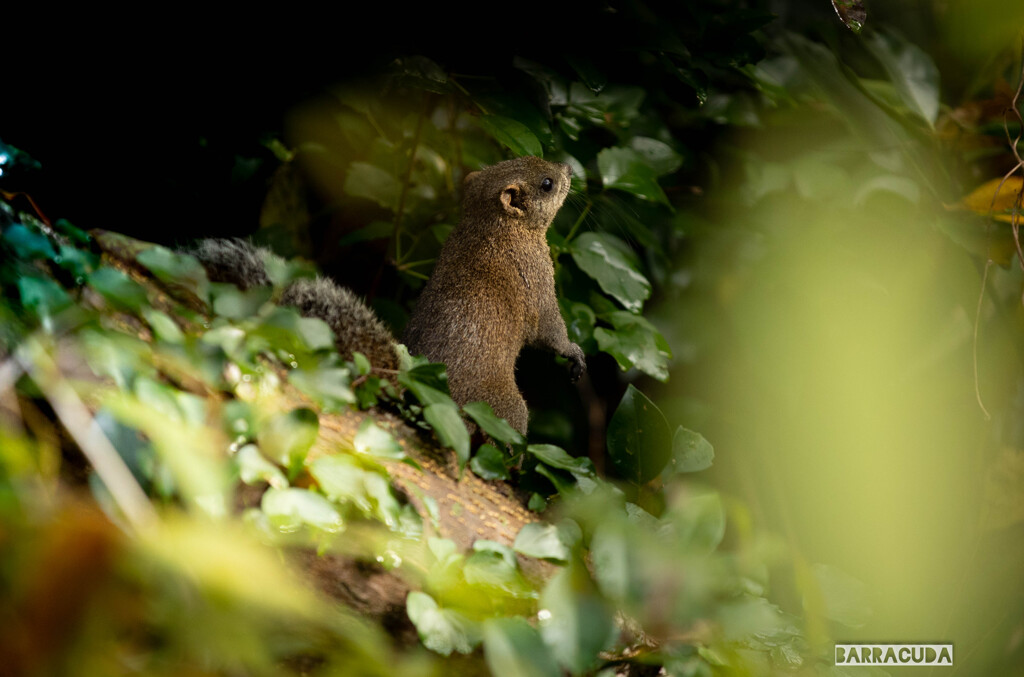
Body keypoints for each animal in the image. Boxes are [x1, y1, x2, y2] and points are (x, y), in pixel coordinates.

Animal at [190, 156, 585, 434]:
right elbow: (550, 331)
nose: (568, 168)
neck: (490, 229)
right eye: (547, 184)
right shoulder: (536, 281)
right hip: (505, 411)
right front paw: (574, 352)